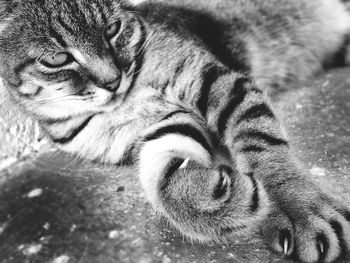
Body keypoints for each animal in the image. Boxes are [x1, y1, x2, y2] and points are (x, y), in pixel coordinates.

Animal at [0, 0, 350, 262]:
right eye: (58, 58)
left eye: (112, 29)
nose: (113, 81)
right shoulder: (156, 129)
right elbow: (164, 179)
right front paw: (217, 203)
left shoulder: (216, 81)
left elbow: (264, 150)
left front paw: (298, 210)